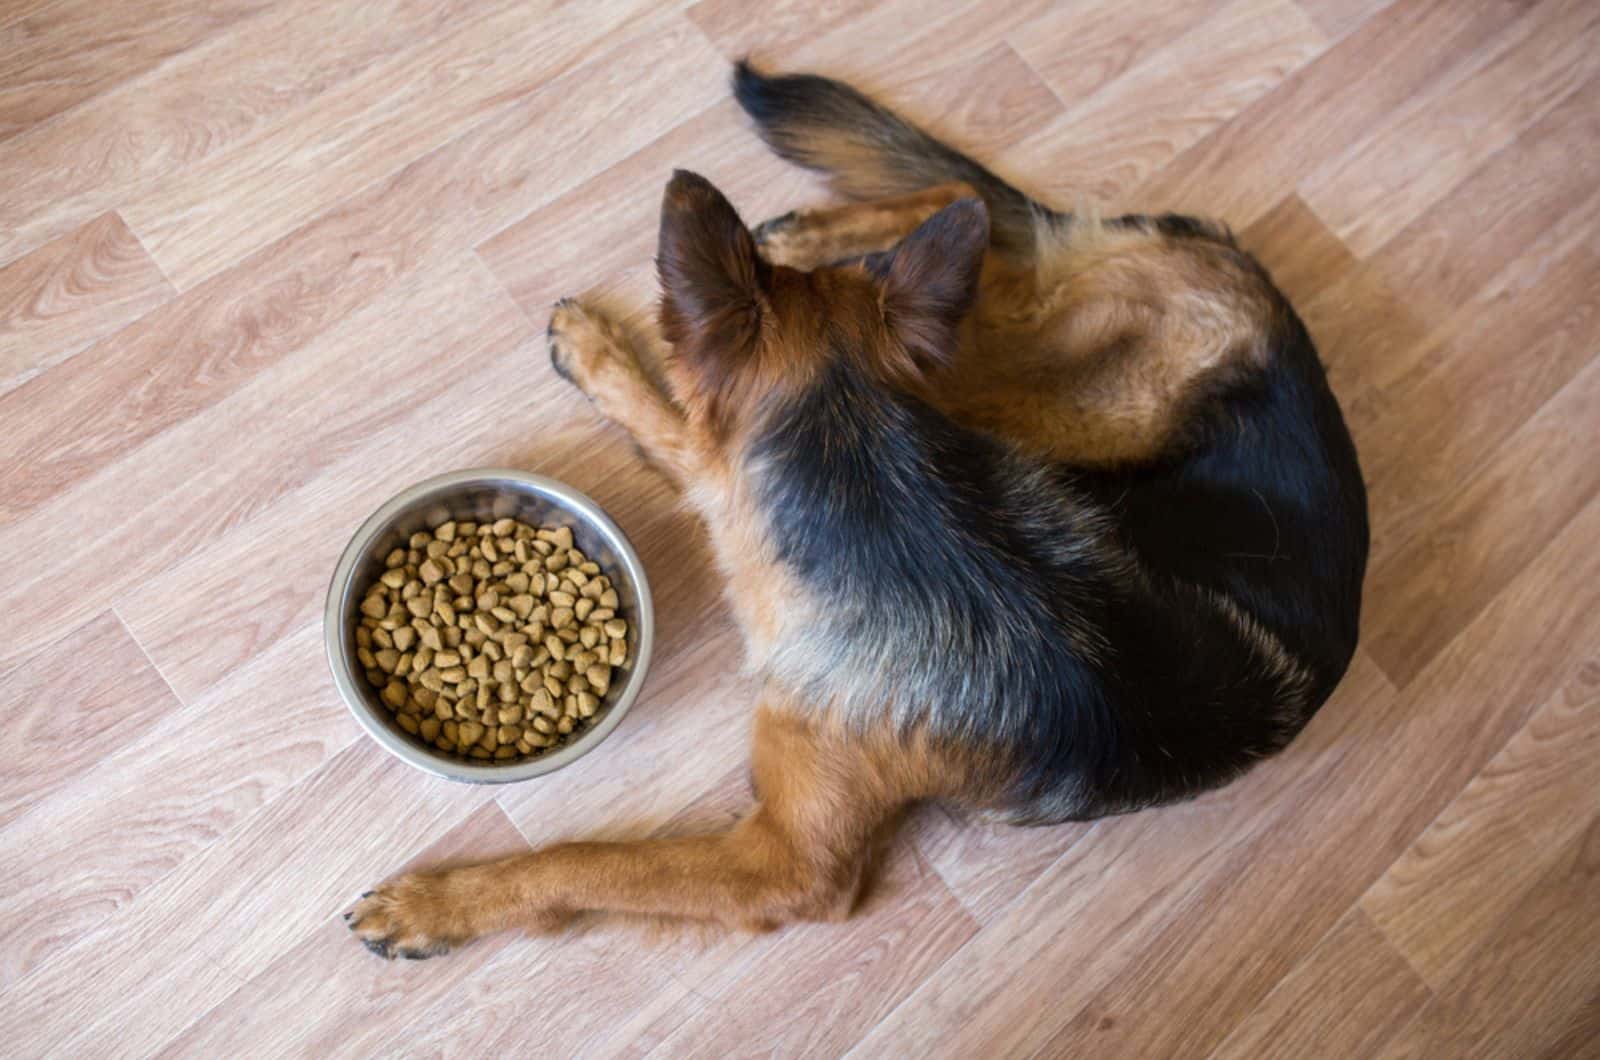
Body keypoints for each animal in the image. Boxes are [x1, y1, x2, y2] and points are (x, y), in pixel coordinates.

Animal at [347, 66, 1363, 960]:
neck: (881, 499)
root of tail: (1249, 282)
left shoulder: (787, 863)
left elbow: (587, 861)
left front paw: (441, 904)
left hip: (1025, 401)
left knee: (981, 214)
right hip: (982, 380)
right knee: (968, 200)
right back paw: (814, 236)